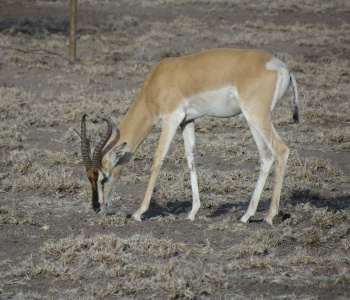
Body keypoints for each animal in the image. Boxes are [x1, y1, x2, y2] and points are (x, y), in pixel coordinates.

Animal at [76, 47, 298, 225]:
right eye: (89, 178)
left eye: (104, 177)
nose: (96, 207)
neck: (157, 82)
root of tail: (282, 68)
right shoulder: (187, 122)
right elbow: (191, 160)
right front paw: (192, 212)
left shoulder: (171, 119)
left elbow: (158, 159)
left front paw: (138, 212)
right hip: (252, 121)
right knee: (266, 156)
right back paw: (246, 216)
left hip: (257, 116)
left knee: (281, 151)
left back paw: (269, 216)